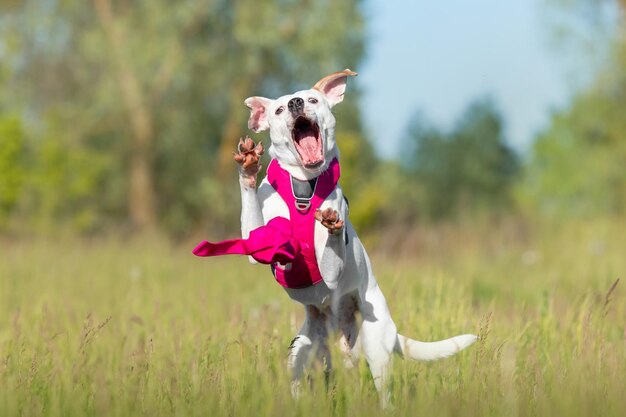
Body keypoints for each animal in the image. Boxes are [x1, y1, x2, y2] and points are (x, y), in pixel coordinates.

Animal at [197, 69, 476, 406]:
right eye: (279, 109)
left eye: (313, 99)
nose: (296, 103)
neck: (304, 187)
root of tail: (336, 333)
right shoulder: (257, 243)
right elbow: (255, 221)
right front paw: (249, 168)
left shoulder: (331, 268)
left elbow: (331, 248)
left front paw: (333, 222)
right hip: (301, 352)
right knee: (300, 380)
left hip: (376, 349)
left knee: (383, 392)